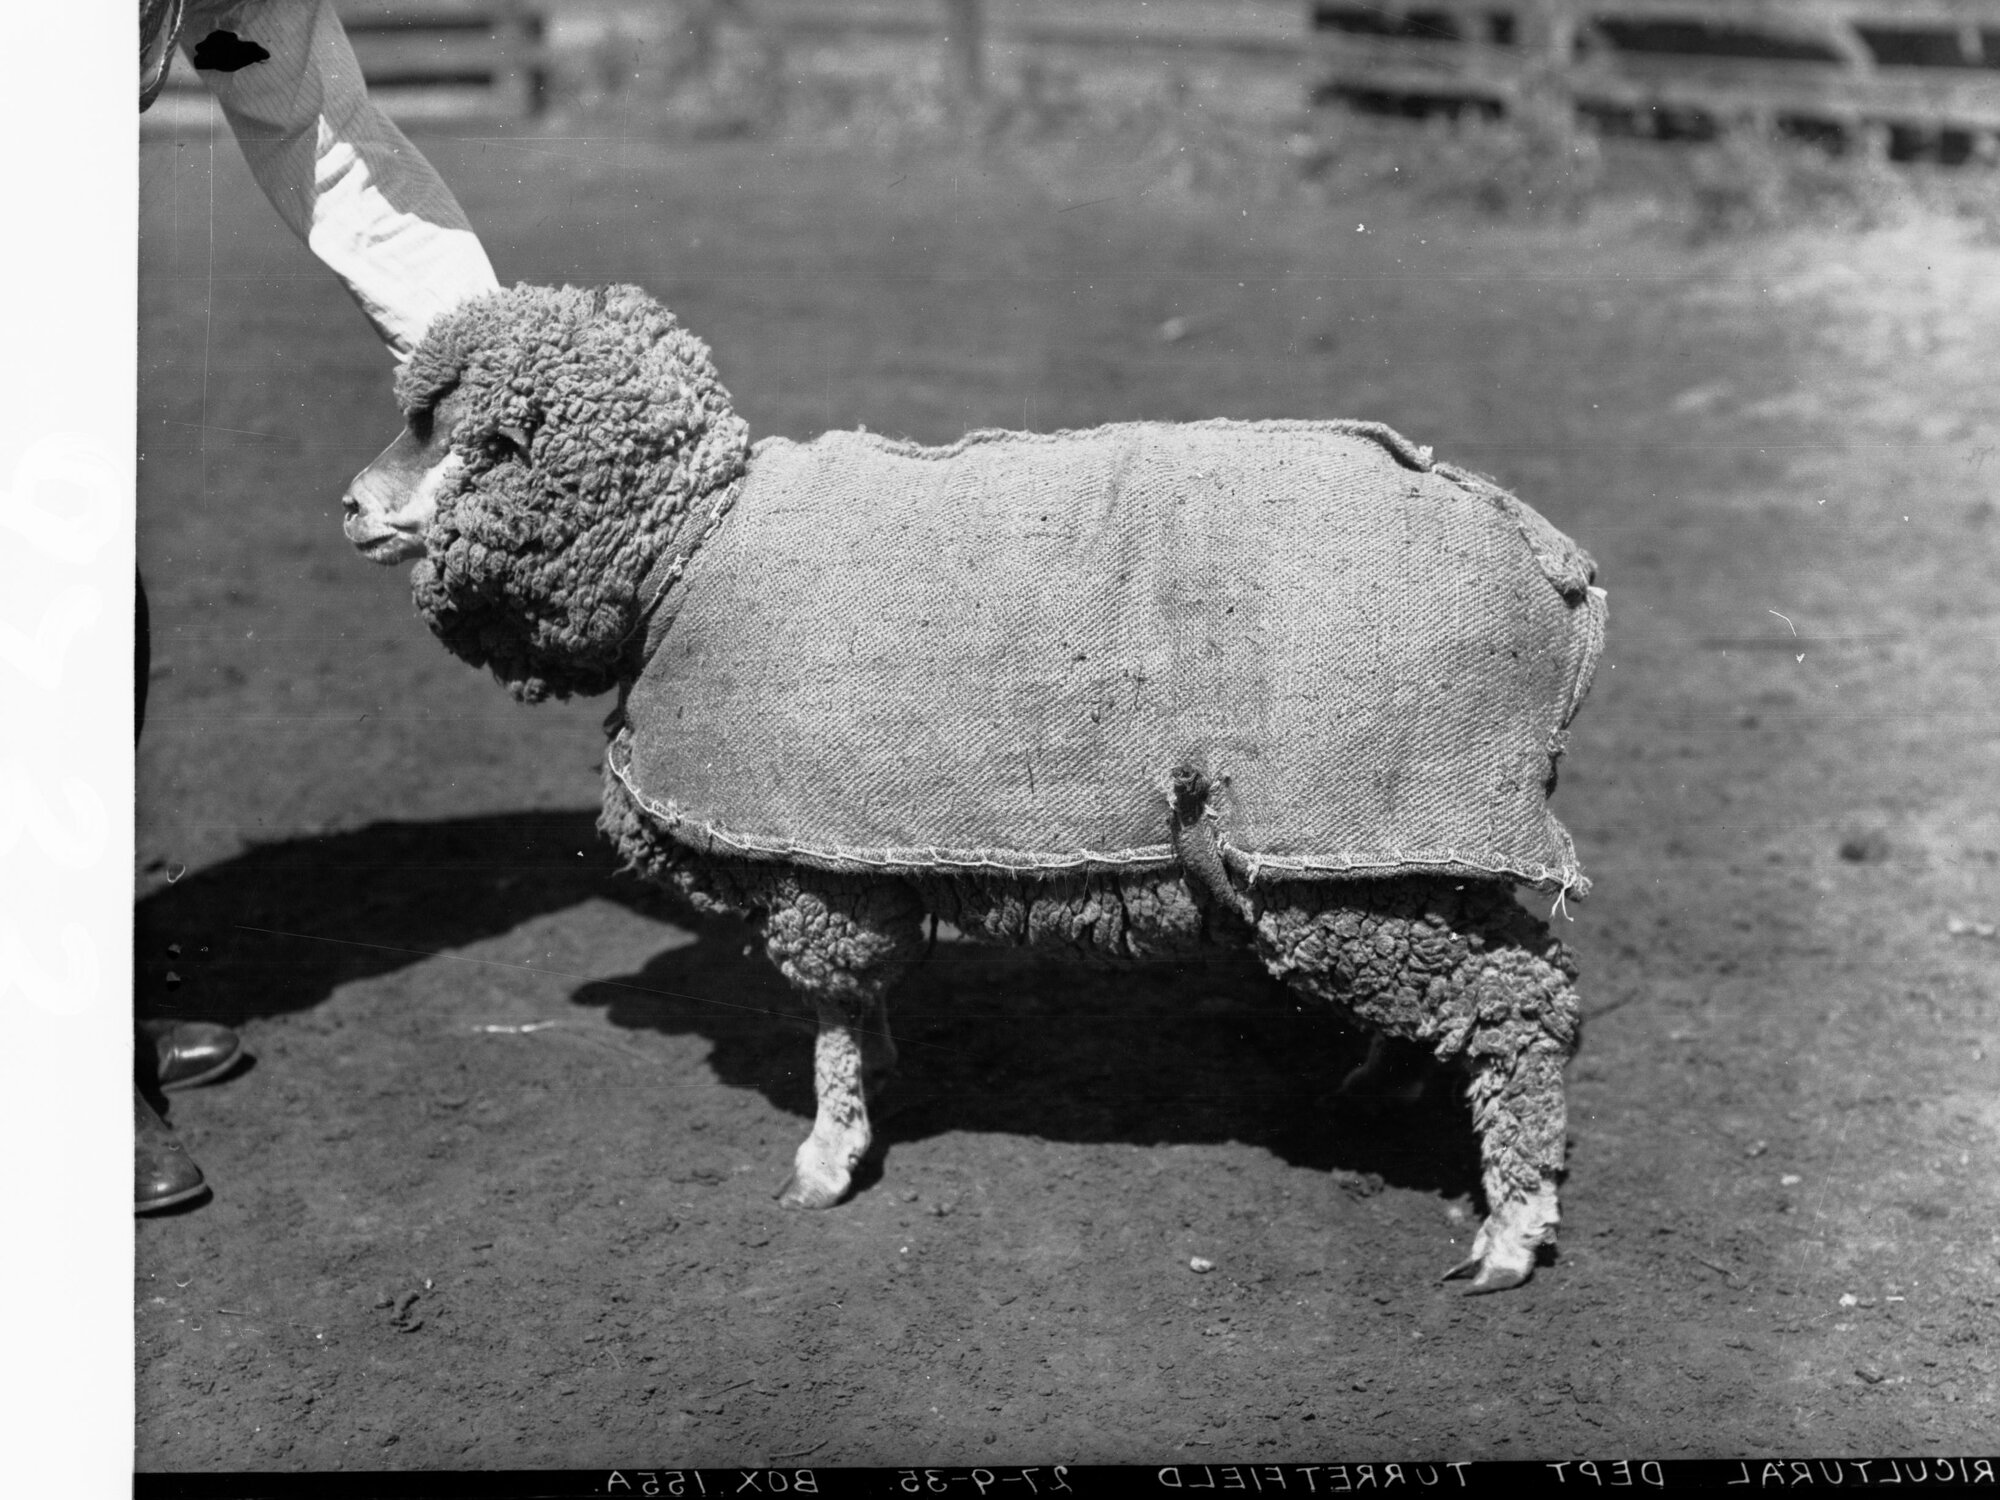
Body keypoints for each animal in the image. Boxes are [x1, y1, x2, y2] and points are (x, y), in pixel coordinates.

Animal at [342, 283, 1608, 1293]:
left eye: (457, 432)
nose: (349, 504)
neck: (685, 552)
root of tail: (1546, 553)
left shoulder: (813, 866)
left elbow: (830, 1011)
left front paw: (827, 1155)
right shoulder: (849, 856)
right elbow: (856, 1004)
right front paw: (878, 1080)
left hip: (1344, 841)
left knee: (1523, 1004)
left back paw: (1510, 1229)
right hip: (1393, 861)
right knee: (1475, 981)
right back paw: (1386, 1082)